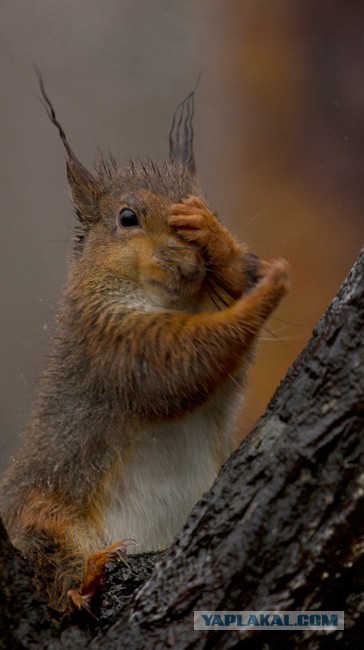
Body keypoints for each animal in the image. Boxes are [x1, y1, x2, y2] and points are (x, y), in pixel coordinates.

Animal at [0, 78, 290, 612]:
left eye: (209, 204)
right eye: (127, 217)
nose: (188, 260)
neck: (172, 300)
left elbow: (235, 285)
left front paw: (220, 242)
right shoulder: (110, 339)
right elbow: (177, 364)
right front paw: (270, 288)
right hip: (41, 517)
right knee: (54, 564)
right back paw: (89, 575)